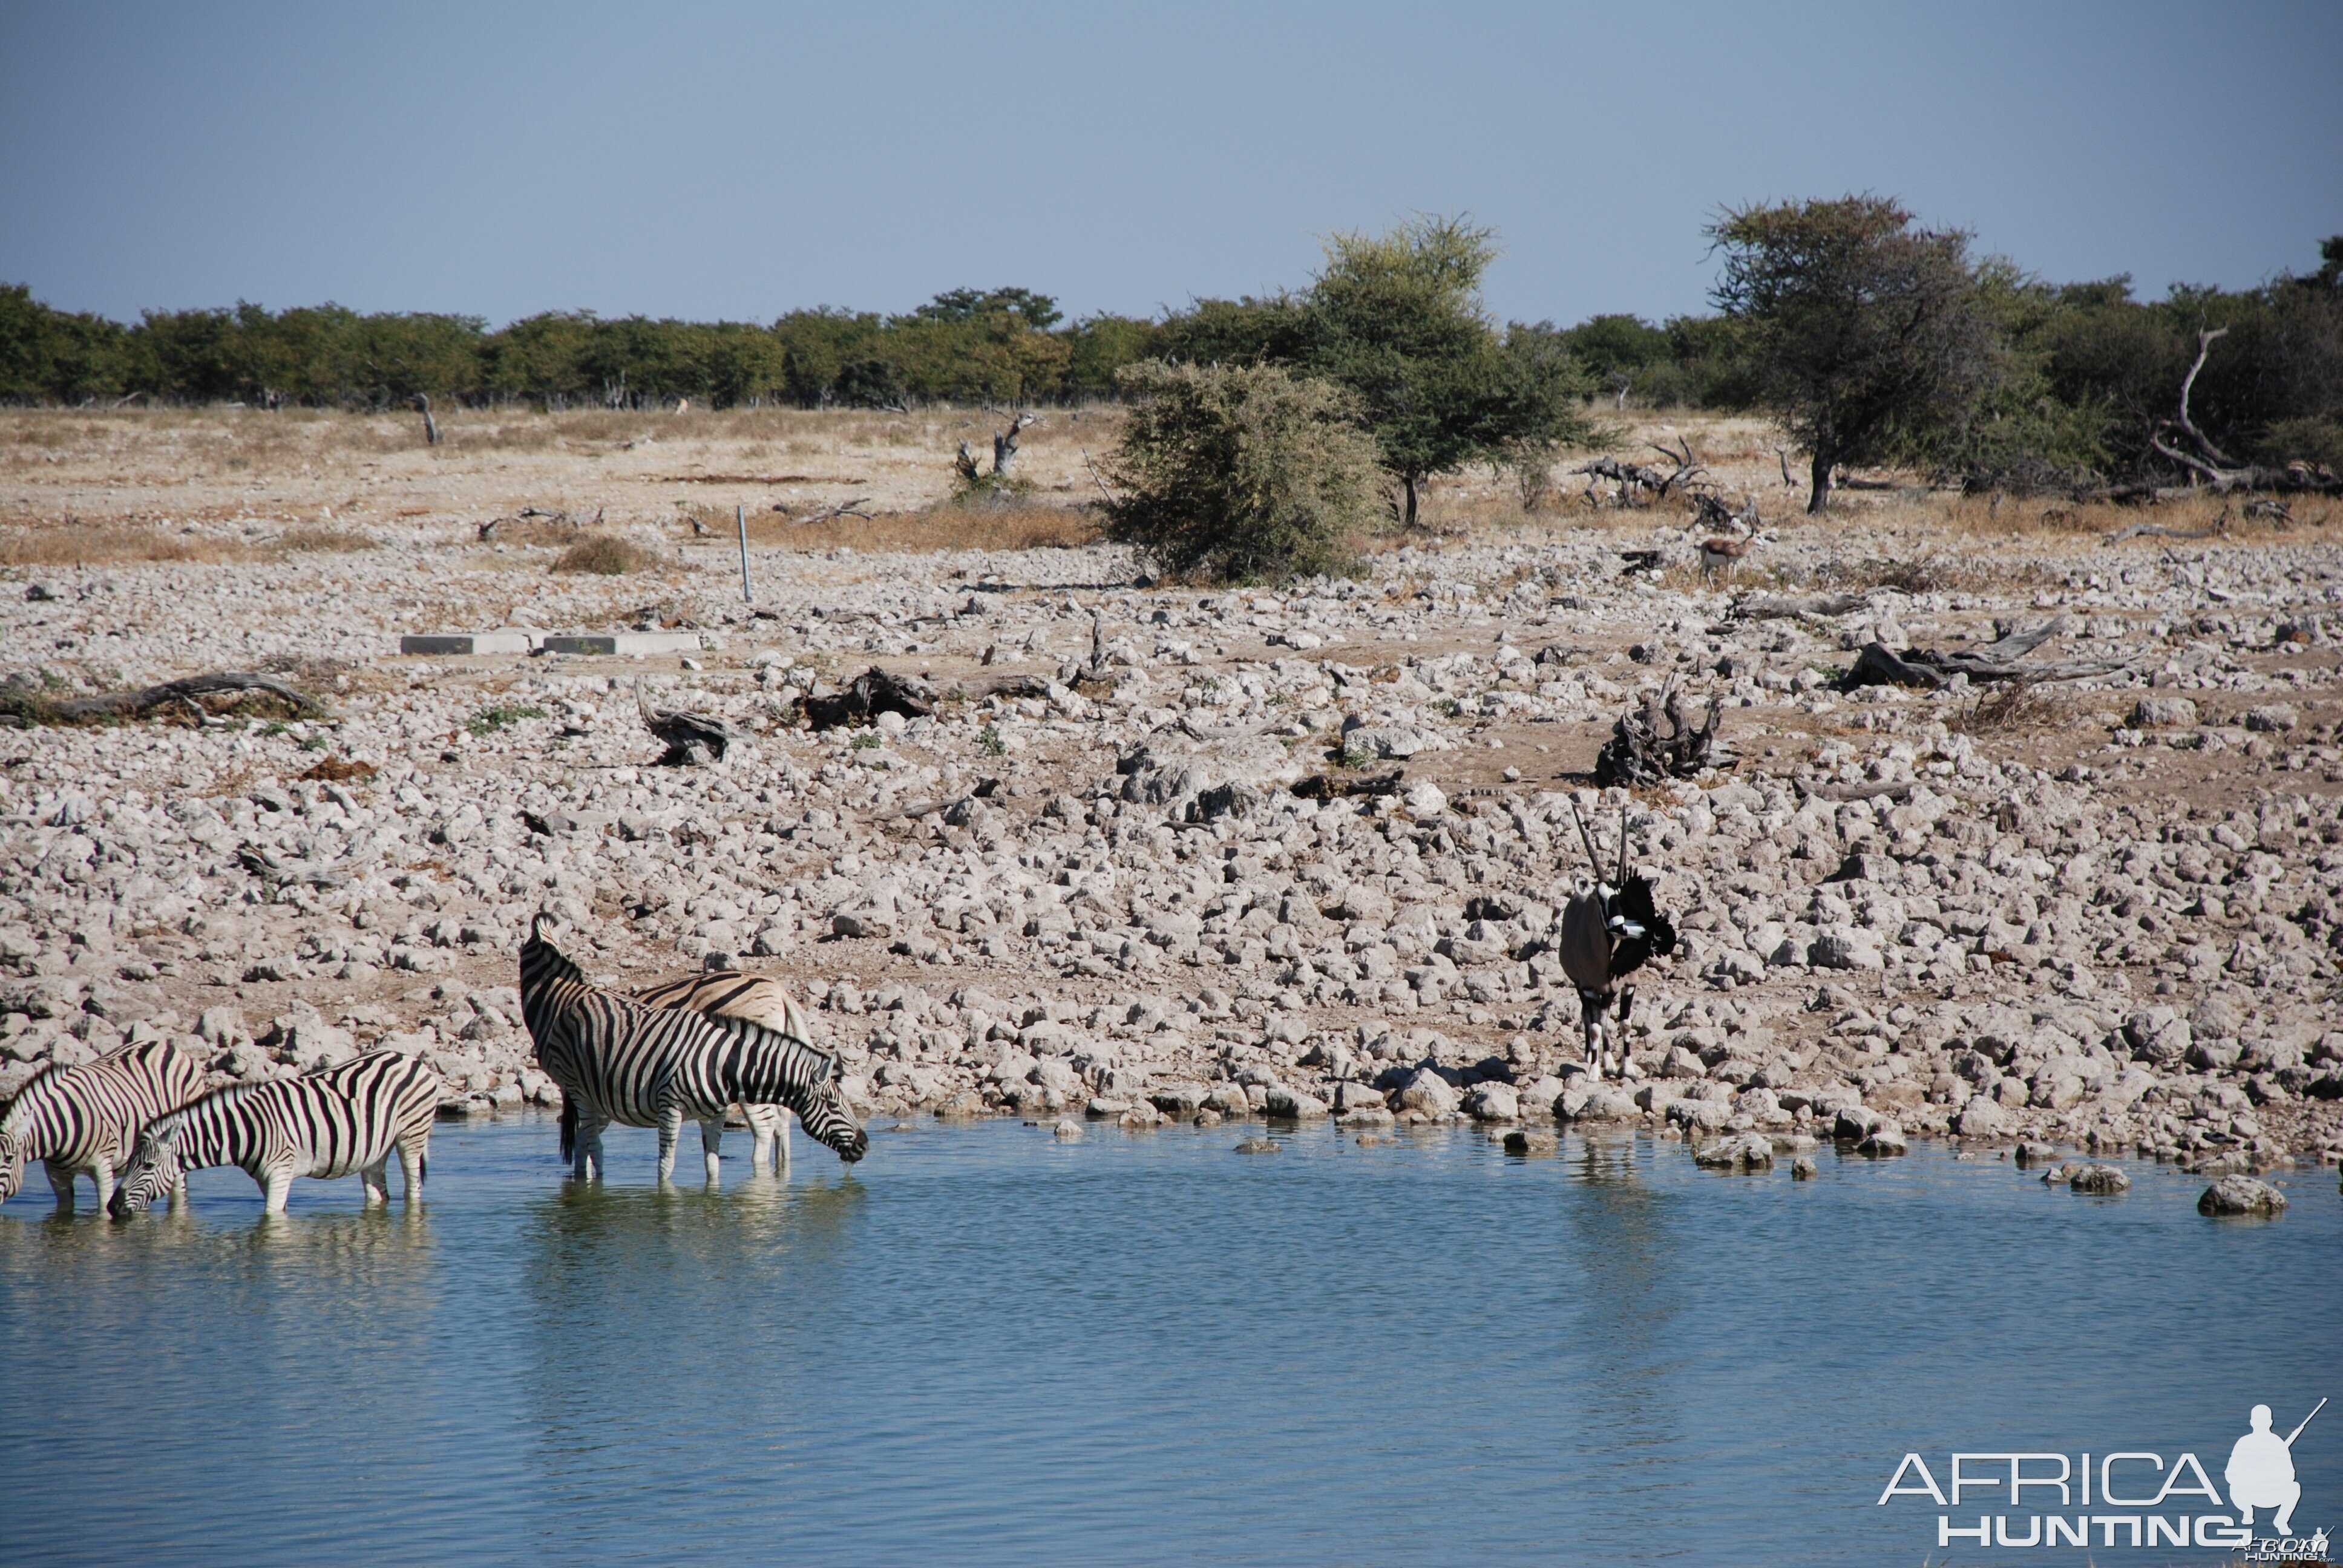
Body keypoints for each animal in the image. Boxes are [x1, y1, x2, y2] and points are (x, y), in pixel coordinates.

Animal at [106, 1045, 442, 1218]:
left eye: (148, 1166)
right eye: (130, 1164)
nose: (112, 1207)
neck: (245, 1130)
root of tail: (407, 1057)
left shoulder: (281, 1170)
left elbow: (271, 1218)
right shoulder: (264, 1179)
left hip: (411, 1136)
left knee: (412, 1189)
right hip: (375, 1149)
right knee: (378, 1192)